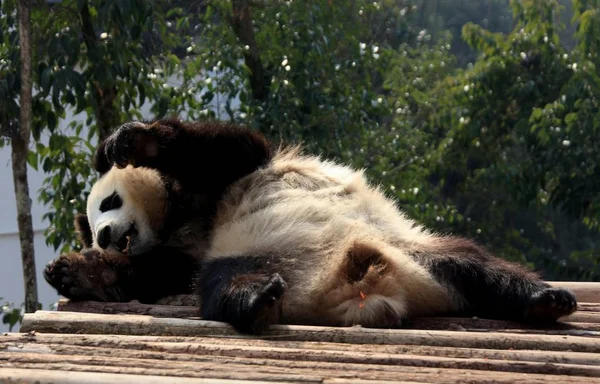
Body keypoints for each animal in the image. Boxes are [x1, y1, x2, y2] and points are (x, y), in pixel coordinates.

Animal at [43, 118, 576, 334]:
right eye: (92, 225)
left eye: (109, 201)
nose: (104, 235)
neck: (182, 215)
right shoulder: (185, 251)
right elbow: (152, 273)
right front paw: (77, 271)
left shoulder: (232, 170)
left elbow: (217, 146)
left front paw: (131, 143)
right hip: (252, 255)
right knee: (218, 283)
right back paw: (256, 299)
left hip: (414, 250)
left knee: (475, 264)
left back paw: (544, 298)